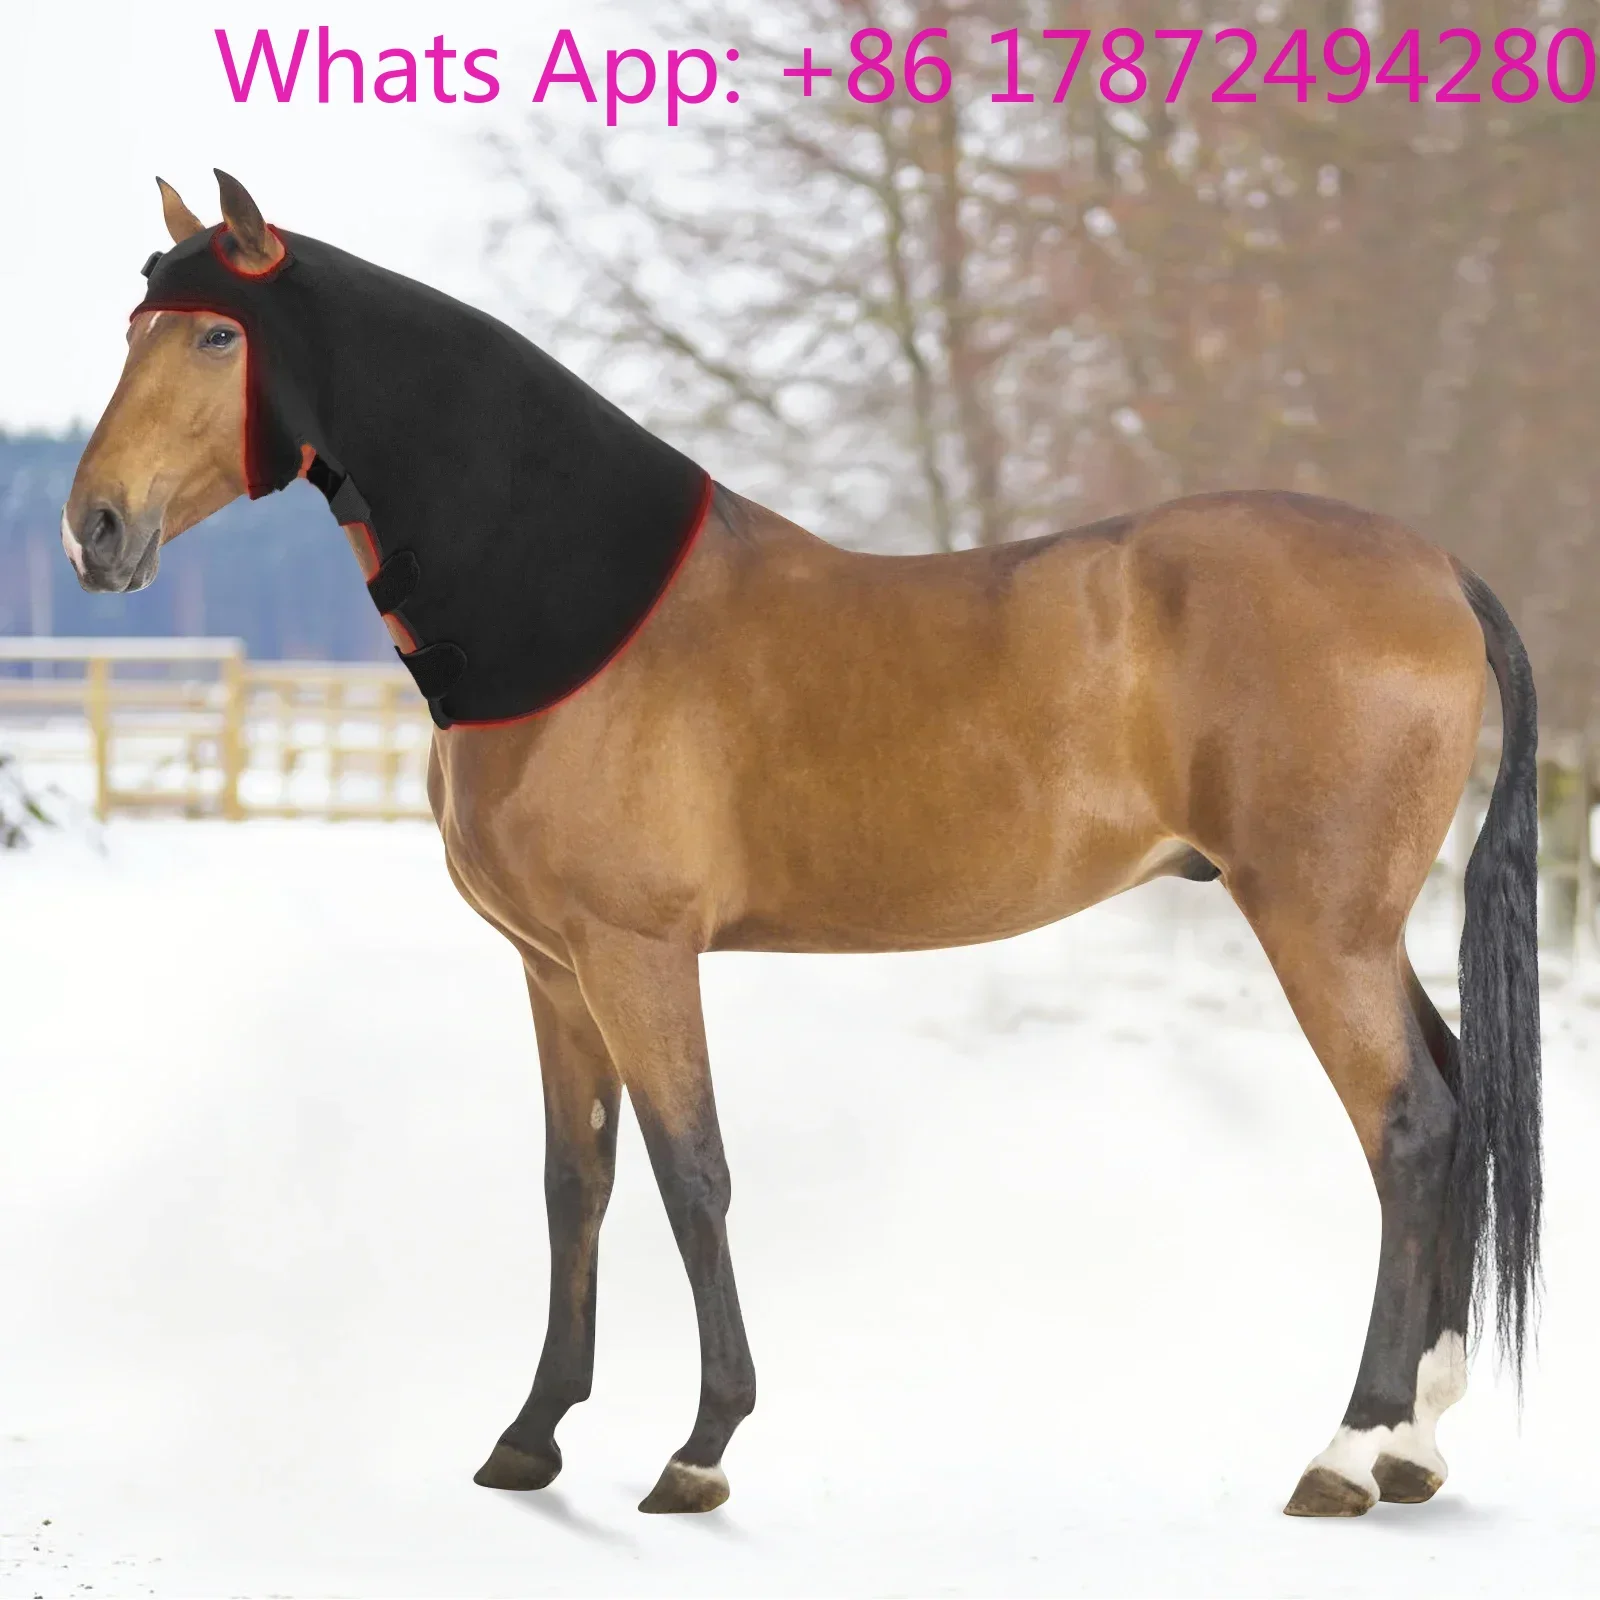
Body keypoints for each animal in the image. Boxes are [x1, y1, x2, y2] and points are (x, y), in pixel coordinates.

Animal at [62, 170, 1541, 1519]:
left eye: (215, 337)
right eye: (134, 325)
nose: (97, 527)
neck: (577, 613)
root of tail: (1439, 570)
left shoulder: (638, 953)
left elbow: (692, 1173)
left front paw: (700, 1447)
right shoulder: (551, 969)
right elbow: (575, 1183)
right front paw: (532, 1438)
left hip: (1314, 922)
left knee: (1407, 1129)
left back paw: (1348, 1449)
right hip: (1358, 926)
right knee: (1454, 1098)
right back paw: (1416, 1442)